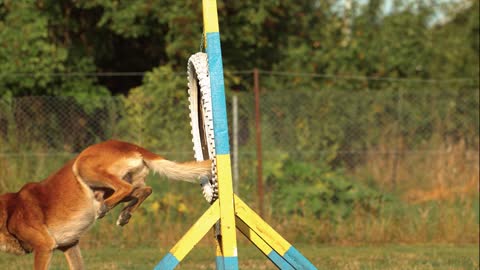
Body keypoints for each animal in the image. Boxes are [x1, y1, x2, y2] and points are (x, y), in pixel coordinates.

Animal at [0, 140, 210, 268]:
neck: (9, 213)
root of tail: (129, 145)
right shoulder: (70, 246)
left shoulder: (44, 247)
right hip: (113, 183)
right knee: (143, 190)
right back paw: (124, 213)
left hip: (82, 166)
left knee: (125, 188)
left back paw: (104, 207)